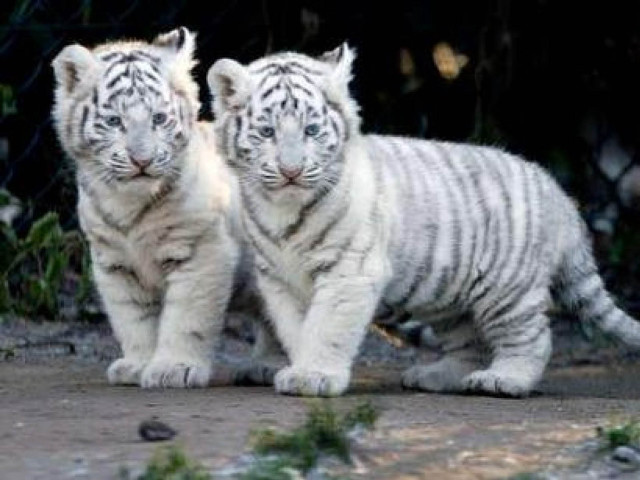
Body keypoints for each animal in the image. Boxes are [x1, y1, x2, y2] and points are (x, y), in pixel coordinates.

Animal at [51, 27, 279, 388]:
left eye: (158, 118)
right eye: (114, 121)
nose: (141, 160)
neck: (129, 204)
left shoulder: (201, 251)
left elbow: (186, 317)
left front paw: (175, 368)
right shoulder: (114, 263)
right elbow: (133, 319)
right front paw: (137, 365)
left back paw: (268, 366)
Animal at [206, 43, 640, 397]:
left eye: (312, 130)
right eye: (266, 132)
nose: (292, 171)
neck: (283, 210)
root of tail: (559, 194)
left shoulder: (350, 271)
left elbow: (327, 326)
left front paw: (314, 376)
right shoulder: (279, 278)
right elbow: (296, 328)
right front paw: (299, 367)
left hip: (507, 289)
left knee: (531, 338)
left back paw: (504, 380)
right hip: (449, 295)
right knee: (469, 343)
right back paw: (437, 376)